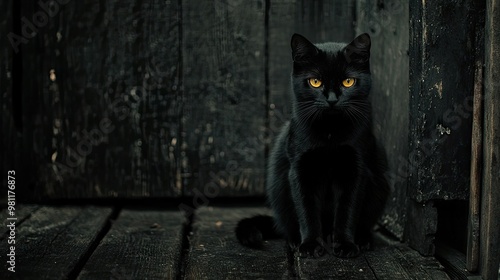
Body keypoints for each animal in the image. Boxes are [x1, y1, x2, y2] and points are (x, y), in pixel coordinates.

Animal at [235, 33, 390, 258]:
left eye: (348, 81)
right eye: (315, 82)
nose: (332, 99)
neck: (330, 133)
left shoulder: (356, 169)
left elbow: (347, 210)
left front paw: (345, 245)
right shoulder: (299, 169)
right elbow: (306, 210)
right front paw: (309, 245)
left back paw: (362, 240)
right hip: (279, 189)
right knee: (287, 224)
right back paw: (294, 241)